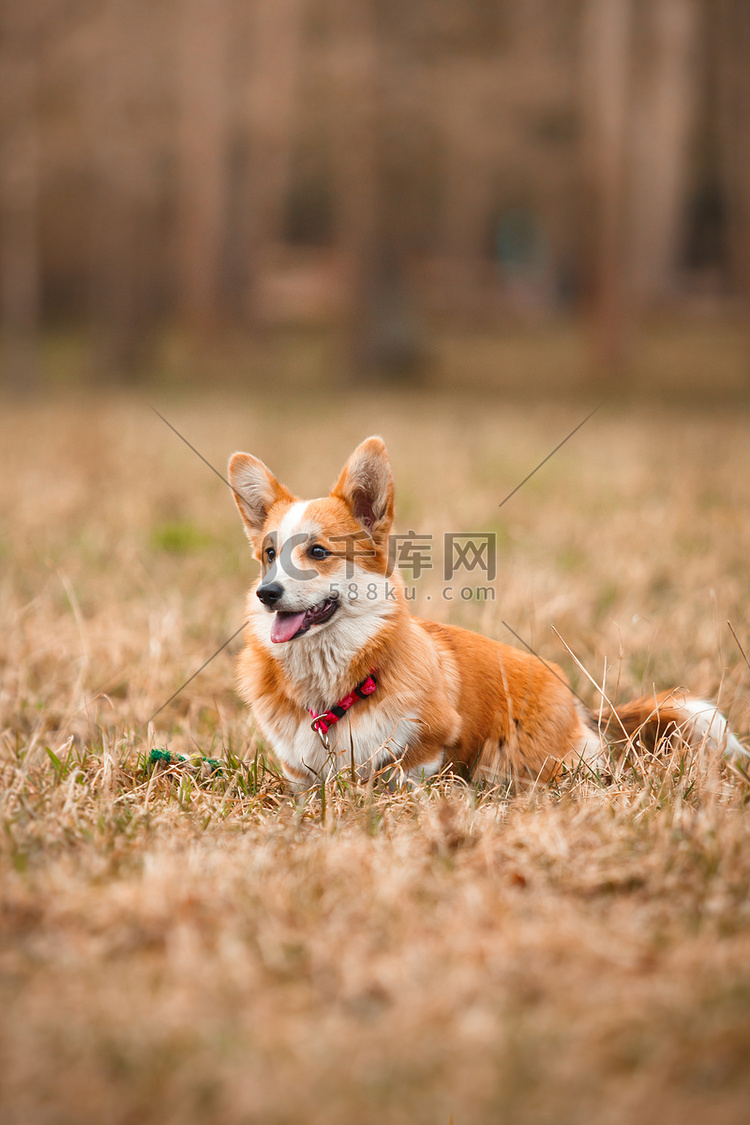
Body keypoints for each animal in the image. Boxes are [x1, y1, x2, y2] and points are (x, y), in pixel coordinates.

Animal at [229, 432, 746, 792]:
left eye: (317, 552)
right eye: (270, 555)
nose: (267, 594)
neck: (329, 686)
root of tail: (579, 703)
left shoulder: (427, 747)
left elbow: (404, 775)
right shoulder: (300, 773)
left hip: (520, 762)